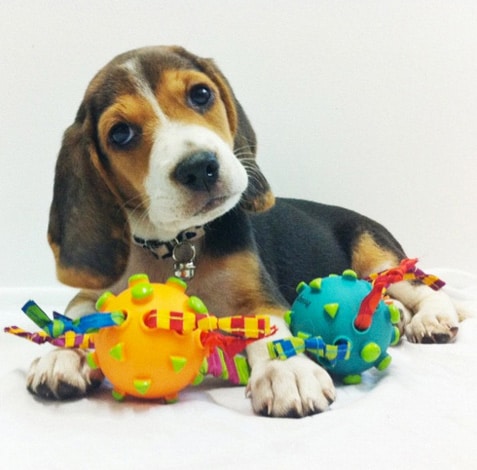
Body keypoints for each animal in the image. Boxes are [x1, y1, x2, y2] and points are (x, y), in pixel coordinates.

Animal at [27, 46, 460, 416]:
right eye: (120, 134)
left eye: (201, 94)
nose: (199, 167)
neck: (177, 246)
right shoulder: (95, 291)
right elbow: (76, 313)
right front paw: (61, 354)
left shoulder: (259, 296)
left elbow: (268, 327)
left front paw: (288, 372)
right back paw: (398, 316)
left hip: (375, 255)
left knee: (417, 285)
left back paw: (431, 319)